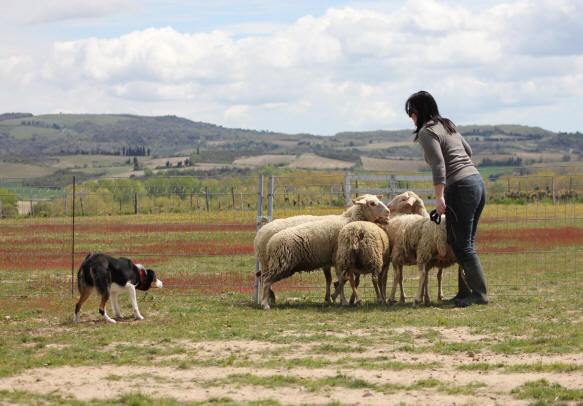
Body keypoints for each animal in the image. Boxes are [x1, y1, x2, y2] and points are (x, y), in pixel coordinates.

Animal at [262, 195, 390, 310]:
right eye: (372, 203)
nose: (388, 212)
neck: (351, 221)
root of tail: (269, 244)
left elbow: (342, 279)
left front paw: (334, 297)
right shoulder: (339, 258)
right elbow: (342, 279)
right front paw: (342, 300)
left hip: (275, 264)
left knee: (263, 278)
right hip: (281, 264)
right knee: (266, 281)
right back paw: (265, 304)